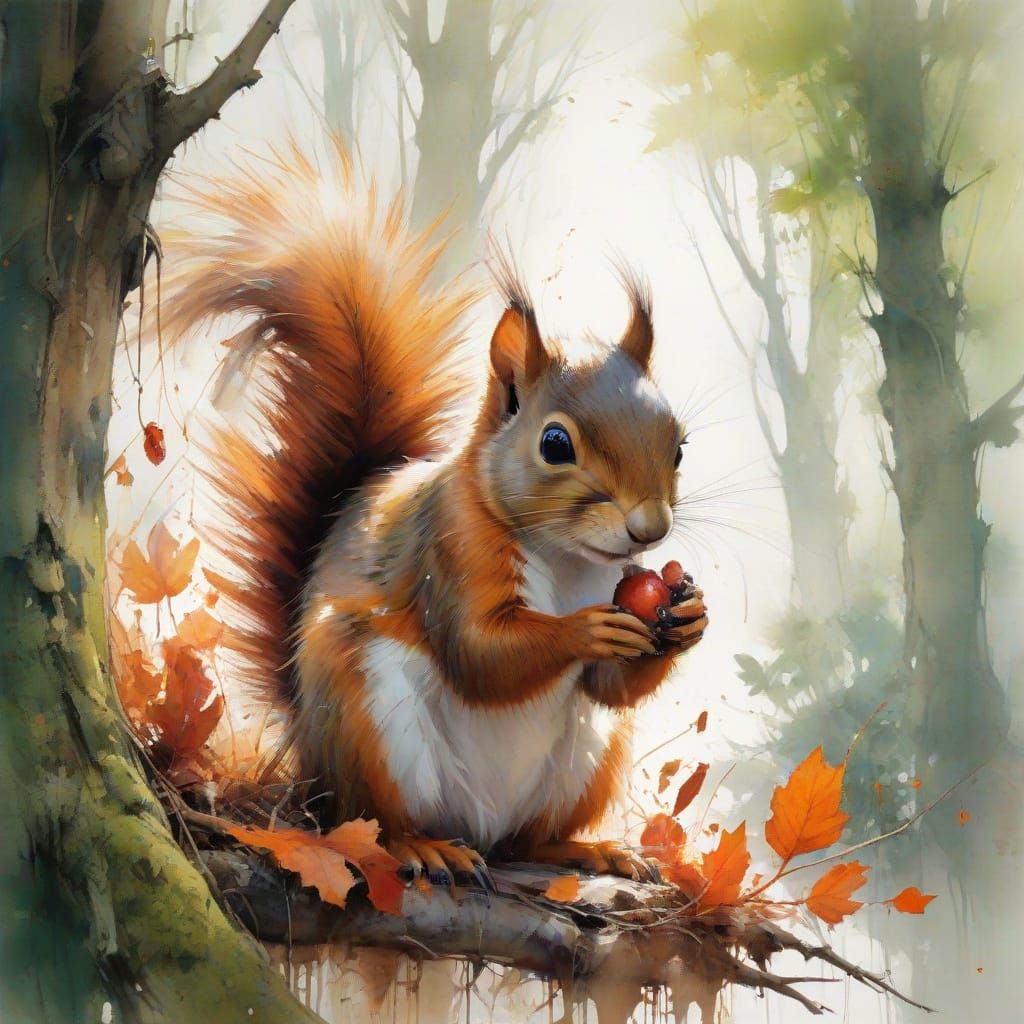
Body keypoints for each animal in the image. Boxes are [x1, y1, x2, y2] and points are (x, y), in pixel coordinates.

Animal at [160, 142, 708, 883]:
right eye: (554, 444)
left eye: (678, 446)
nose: (649, 529)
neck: (568, 560)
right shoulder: (448, 546)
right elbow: (478, 654)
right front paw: (586, 630)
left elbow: (608, 686)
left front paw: (687, 616)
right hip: (369, 721)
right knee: (375, 822)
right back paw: (421, 847)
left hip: (584, 764)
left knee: (527, 840)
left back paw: (586, 849)